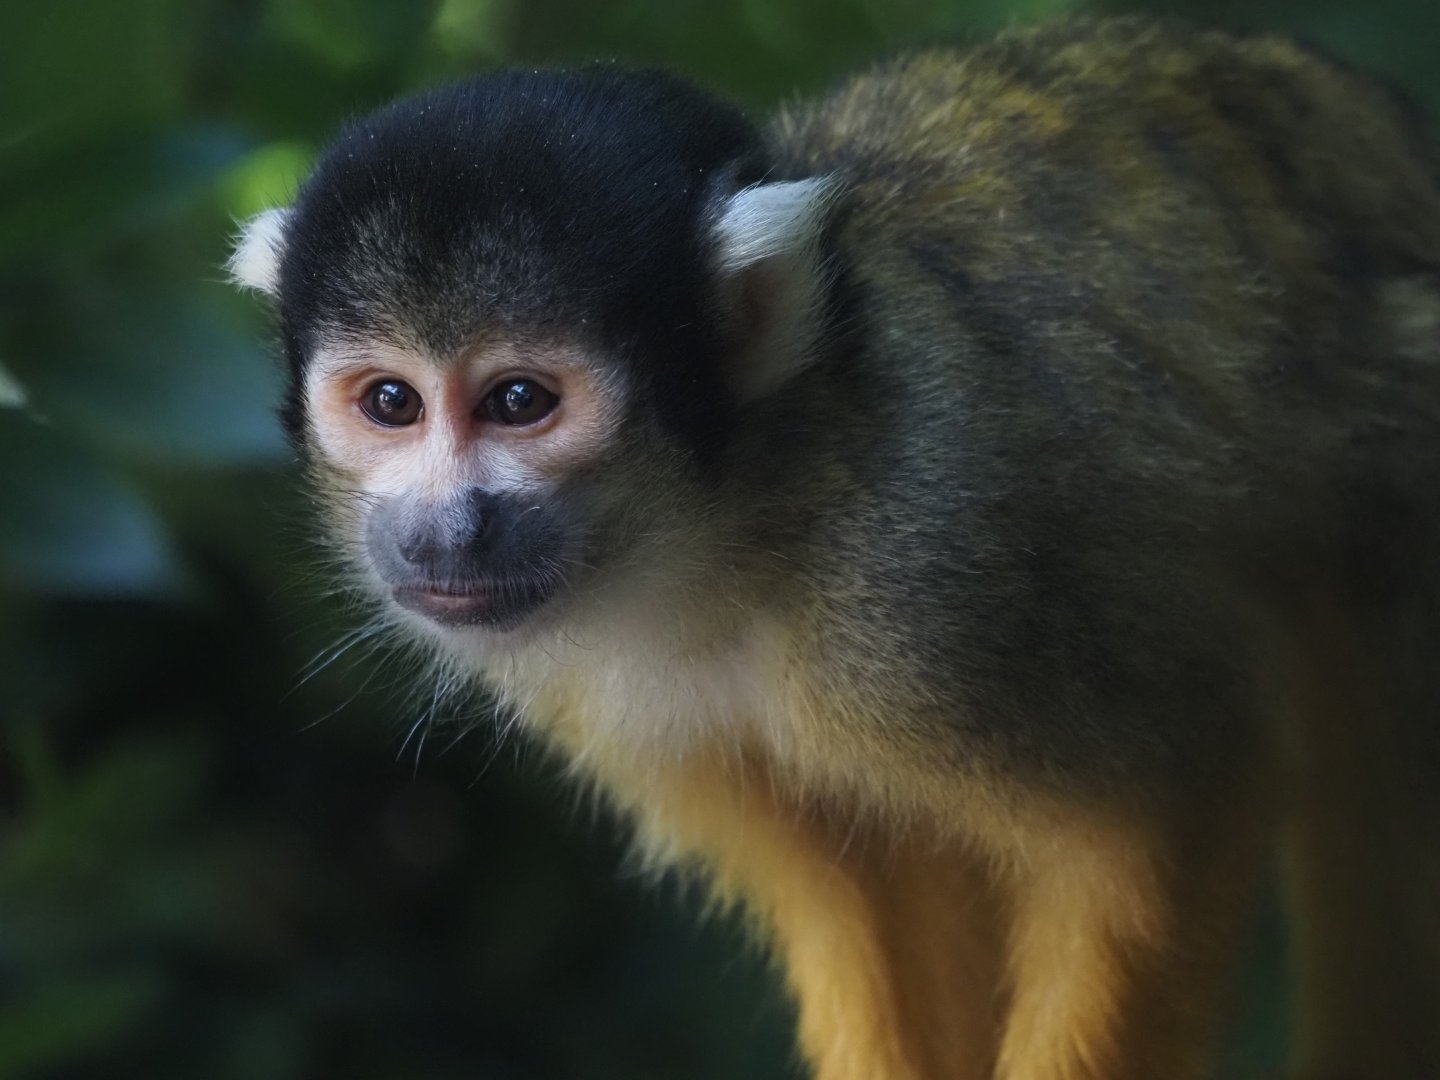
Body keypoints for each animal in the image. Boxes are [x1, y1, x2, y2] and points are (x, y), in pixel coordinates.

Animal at [229, 16, 1440, 1080]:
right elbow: (856, 890)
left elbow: (1176, 802)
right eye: (391, 403)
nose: (443, 529)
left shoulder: (945, 572)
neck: (734, 531)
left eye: (518, 401)